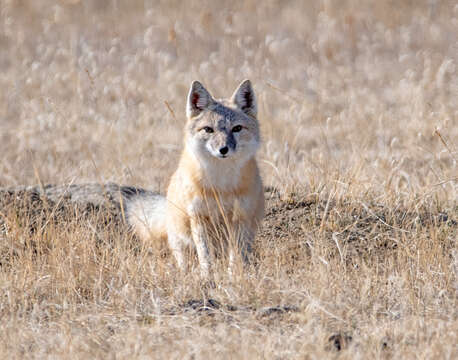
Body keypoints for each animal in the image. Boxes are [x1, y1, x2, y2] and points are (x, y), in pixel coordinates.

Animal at [127, 79, 266, 276]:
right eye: (208, 129)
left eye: (237, 128)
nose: (223, 149)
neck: (220, 186)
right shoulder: (199, 218)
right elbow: (205, 256)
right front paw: (207, 277)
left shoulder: (240, 219)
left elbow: (235, 257)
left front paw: (233, 276)